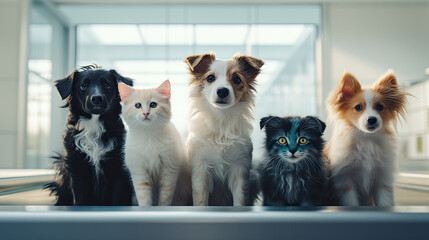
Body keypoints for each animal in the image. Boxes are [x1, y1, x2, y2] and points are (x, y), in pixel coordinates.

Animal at [45, 64, 134, 205]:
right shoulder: (77, 168)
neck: (94, 125)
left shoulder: (119, 169)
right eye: (83, 86)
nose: (97, 98)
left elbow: (118, 199)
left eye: (107, 85)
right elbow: (81, 199)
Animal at [185, 52, 262, 206]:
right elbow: (201, 199)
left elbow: (240, 199)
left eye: (237, 79)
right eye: (210, 78)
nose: (222, 91)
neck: (221, 119)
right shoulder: (200, 168)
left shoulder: (240, 167)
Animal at [324, 69, 404, 206]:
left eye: (380, 107)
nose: (372, 119)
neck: (366, 139)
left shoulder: (383, 180)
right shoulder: (345, 180)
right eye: (358, 107)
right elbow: (351, 203)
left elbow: (384, 202)